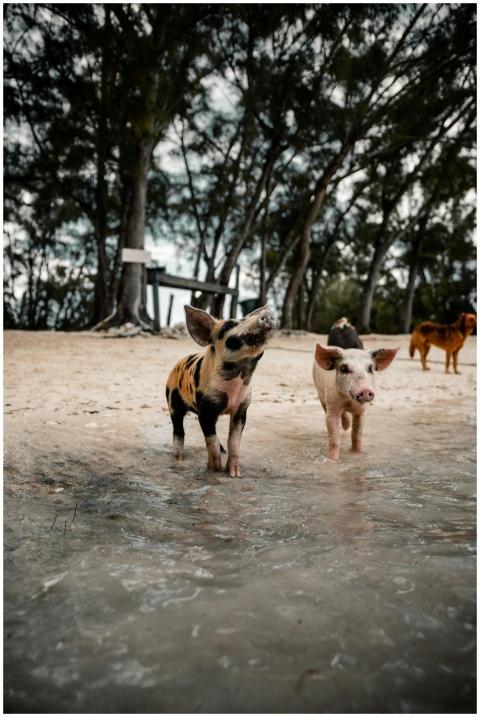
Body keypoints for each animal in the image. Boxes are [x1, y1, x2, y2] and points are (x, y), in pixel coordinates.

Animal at [166, 305, 276, 477]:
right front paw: (214, 470)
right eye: (228, 326)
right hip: (173, 401)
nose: (268, 314)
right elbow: (211, 440)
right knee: (178, 431)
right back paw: (178, 459)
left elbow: (234, 441)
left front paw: (235, 474)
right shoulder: (206, 407)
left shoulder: (242, 409)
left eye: (245, 318)